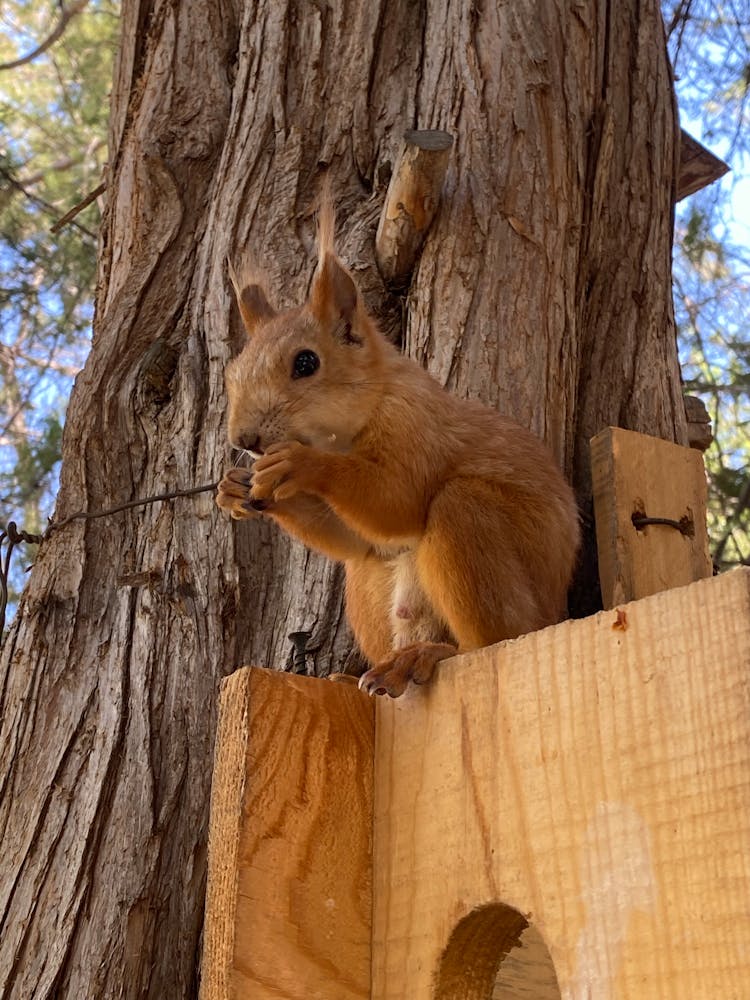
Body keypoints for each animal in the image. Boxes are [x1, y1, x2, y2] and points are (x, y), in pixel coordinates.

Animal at [217, 191, 580, 700]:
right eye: (232, 374)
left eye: (306, 363)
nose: (244, 441)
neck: (346, 432)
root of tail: (557, 614)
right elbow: (356, 535)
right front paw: (233, 488)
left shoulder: (416, 425)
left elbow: (398, 500)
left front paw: (302, 464)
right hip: (369, 583)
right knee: (366, 558)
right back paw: (355, 673)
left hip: (479, 536)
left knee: (496, 639)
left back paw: (429, 654)